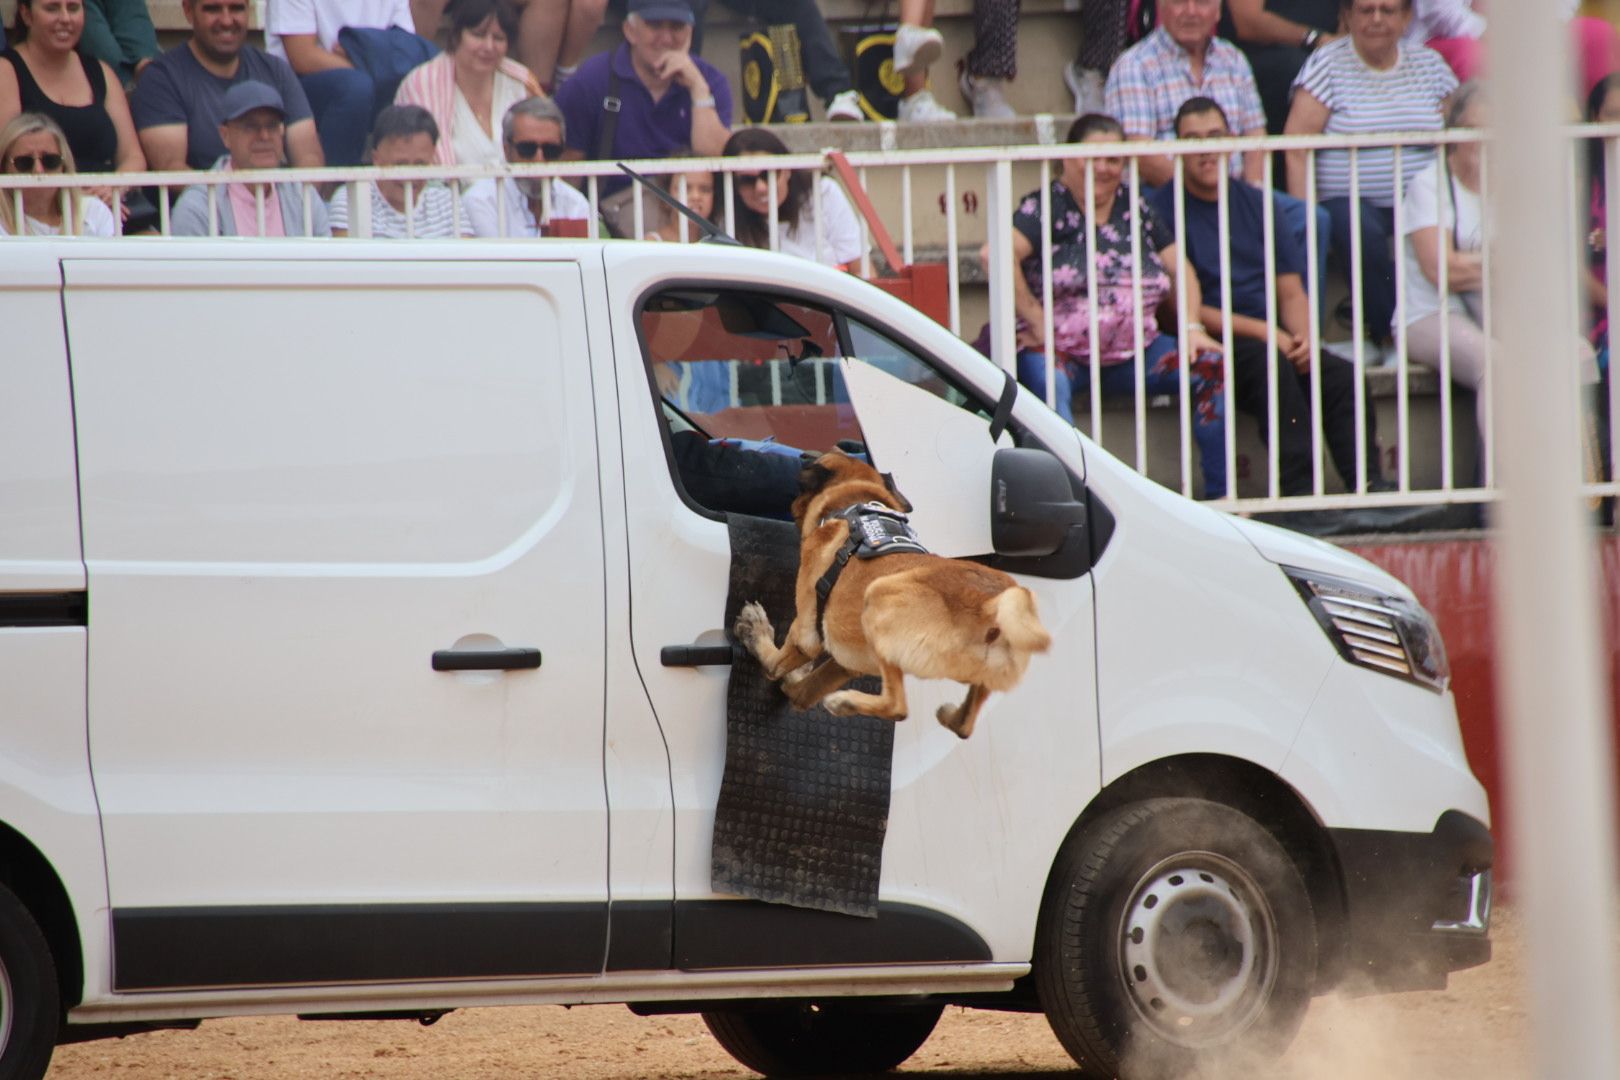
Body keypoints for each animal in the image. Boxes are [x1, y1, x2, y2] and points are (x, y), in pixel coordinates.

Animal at [735, 450, 1049, 744]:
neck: (853, 503)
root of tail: (989, 604)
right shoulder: (844, 665)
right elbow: (803, 691)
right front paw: (796, 680)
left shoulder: (805, 634)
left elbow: (775, 664)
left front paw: (759, 635)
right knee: (964, 726)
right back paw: (951, 715)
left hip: (879, 597)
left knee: (898, 707)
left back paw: (845, 702)